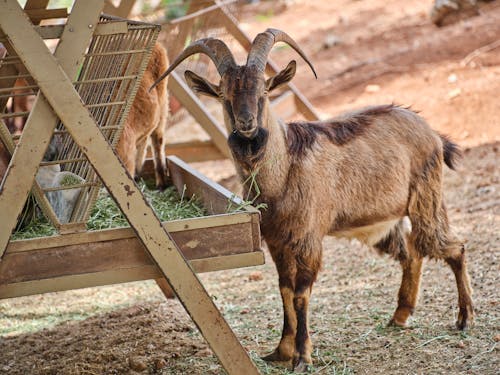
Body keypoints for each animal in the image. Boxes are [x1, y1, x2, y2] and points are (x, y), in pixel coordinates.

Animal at [152, 28, 472, 374]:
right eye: (224, 96)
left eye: (263, 92)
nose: (247, 125)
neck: (284, 172)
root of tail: (433, 133)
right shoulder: (276, 242)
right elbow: (284, 289)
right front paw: (280, 350)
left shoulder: (307, 238)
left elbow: (300, 293)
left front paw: (302, 356)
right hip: (385, 221)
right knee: (412, 252)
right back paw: (400, 316)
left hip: (427, 199)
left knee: (452, 246)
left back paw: (464, 318)